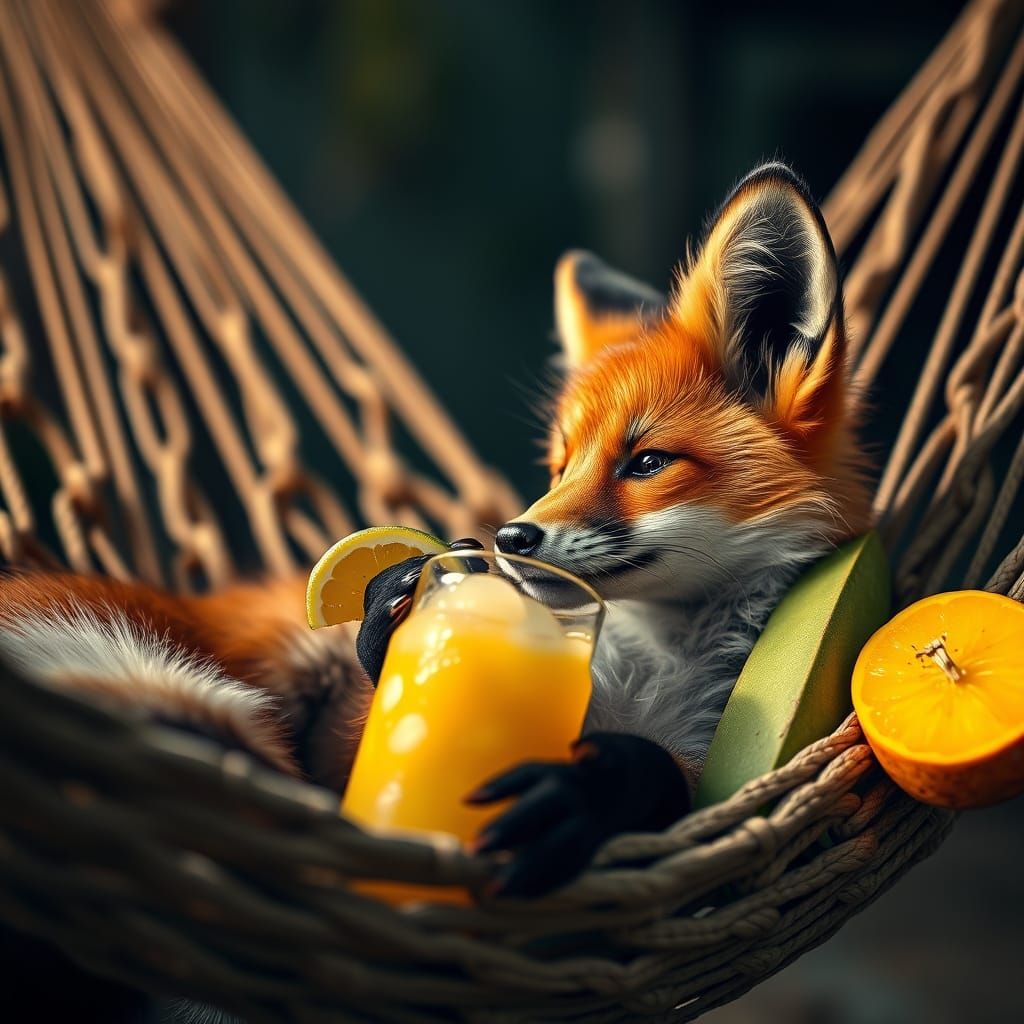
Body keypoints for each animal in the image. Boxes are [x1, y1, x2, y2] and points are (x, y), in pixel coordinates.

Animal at [0, 164, 871, 911]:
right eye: (557, 465)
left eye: (648, 462)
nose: (510, 537)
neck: (644, 678)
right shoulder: (342, 763)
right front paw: (395, 607)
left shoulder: (707, 773)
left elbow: (668, 785)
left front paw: (599, 790)